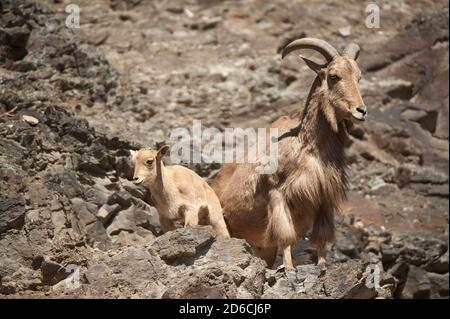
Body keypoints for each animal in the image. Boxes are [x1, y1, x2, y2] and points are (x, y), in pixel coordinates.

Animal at [211, 38, 366, 270]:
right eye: (333, 76)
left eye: (358, 77)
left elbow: (321, 238)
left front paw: (322, 264)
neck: (307, 147)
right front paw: (289, 267)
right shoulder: (277, 195)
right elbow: (286, 236)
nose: (361, 111)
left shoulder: (323, 199)